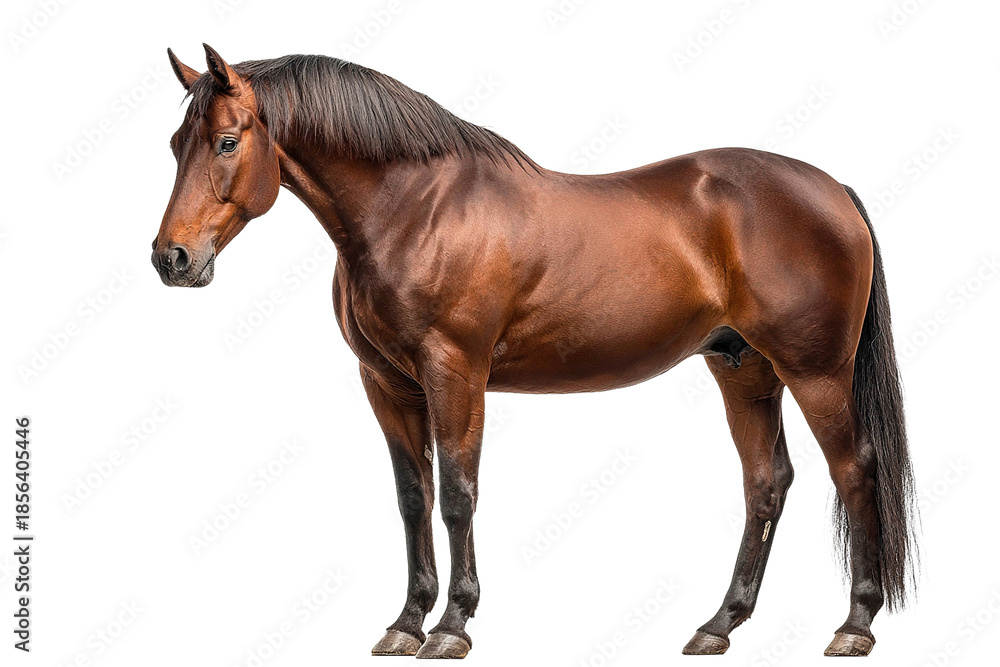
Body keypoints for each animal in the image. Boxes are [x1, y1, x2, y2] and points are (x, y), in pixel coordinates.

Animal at [153, 45, 918, 659]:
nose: (172, 258)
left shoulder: (455, 373)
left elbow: (457, 494)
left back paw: (854, 625)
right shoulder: (388, 384)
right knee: (766, 483)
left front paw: (452, 626)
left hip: (817, 372)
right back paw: (718, 625)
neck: (414, 209)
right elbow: (412, 497)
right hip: (744, 369)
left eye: (226, 142)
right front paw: (405, 623)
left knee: (854, 470)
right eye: (174, 143)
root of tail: (833, 191)